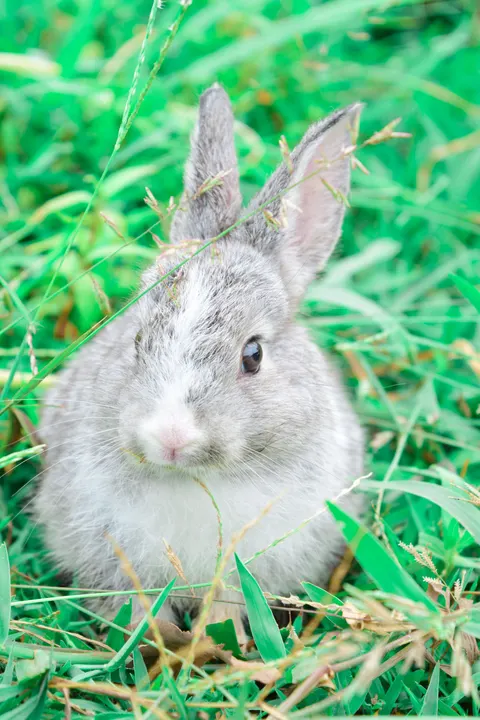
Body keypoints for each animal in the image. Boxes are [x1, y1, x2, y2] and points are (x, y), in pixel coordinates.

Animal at [34, 84, 364, 637]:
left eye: (253, 355)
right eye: (136, 339)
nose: (170, 438)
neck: (195, 476)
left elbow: (227, 605)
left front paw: (214, 638)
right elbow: (141, 604)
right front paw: (161, 641)